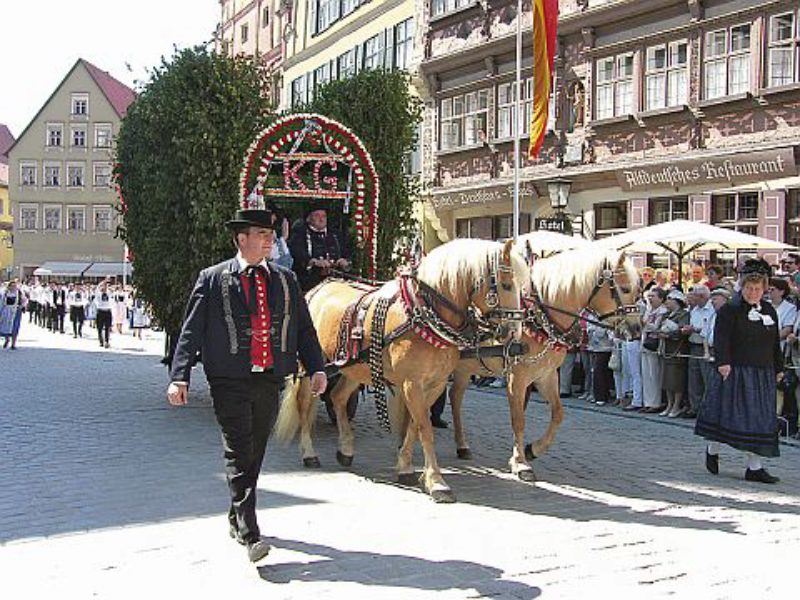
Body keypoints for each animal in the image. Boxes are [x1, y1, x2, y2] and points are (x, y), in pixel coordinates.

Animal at [276, 238, 532, 502]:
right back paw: (309, 453)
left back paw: (345, 449)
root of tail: (318, 289)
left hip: (355, 367)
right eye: (506, 284)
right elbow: (425, 429)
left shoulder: (435, 384)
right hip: (311, 369)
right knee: (305, 404)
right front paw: (437, 482)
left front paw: (406, 468)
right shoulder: (412, 384)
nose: (515, 333)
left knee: (338, 397)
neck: (424, 314)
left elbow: (414, 426)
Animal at [446, 244, 640, 478]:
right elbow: (518, 419)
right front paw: (520, 462)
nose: (637, 329)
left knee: (455, 398)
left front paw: (532, 450)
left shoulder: (545, 376)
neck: (539, 319)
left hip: (464, 369)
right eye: (626, 289)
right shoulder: (517, 377)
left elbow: (557, 414)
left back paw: (462, 445)